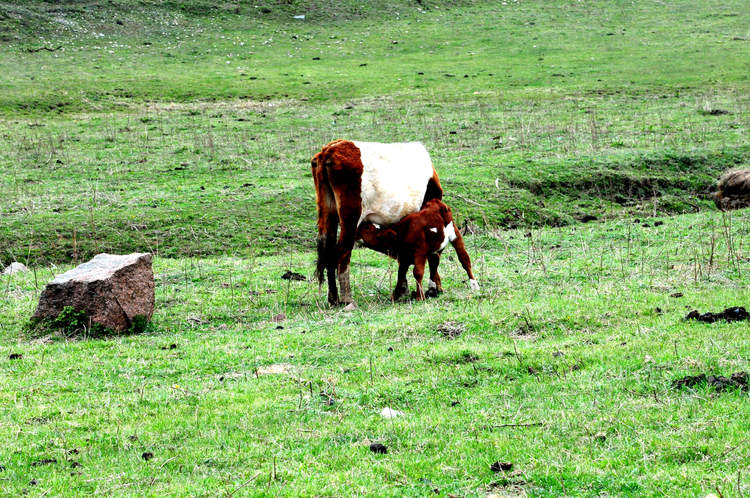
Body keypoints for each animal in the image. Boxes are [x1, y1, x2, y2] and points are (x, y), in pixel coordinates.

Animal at [312, 138, 444, 306]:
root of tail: (330, 149)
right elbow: (430, 256)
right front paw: (431, 287)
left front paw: (403, 289)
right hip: (351, 216)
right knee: (343, 251)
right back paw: (347, 298)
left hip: (328, 211)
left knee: (328, 248)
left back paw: (333, 298)